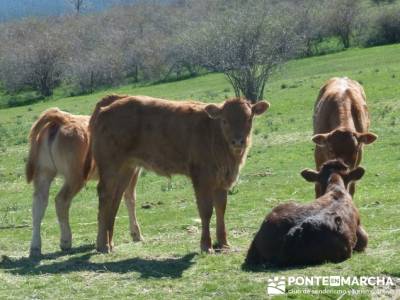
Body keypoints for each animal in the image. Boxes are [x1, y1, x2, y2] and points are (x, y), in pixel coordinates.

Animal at [26, 99, 143, 258]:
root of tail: (62, 118)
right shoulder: (132, 170)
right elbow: (130, 199)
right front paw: (136, 234)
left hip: (44, 173)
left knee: (38, 205)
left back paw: (35, 247)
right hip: (75, 177)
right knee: (61, 200)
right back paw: (66, 241)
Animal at [85, 95, 270, 253]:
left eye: (249, 118)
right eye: (224, 120)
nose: (238, 141)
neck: (214, 133)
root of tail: (108, 105)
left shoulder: (222, 180)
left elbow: (221, 209)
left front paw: (224, 243)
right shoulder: (202, 179)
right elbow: (206, 211)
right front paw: (206, 245)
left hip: (127, 167)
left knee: (116, 198)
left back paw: (110, 242)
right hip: (110, 167)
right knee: (105, 196)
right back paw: (103, 245)